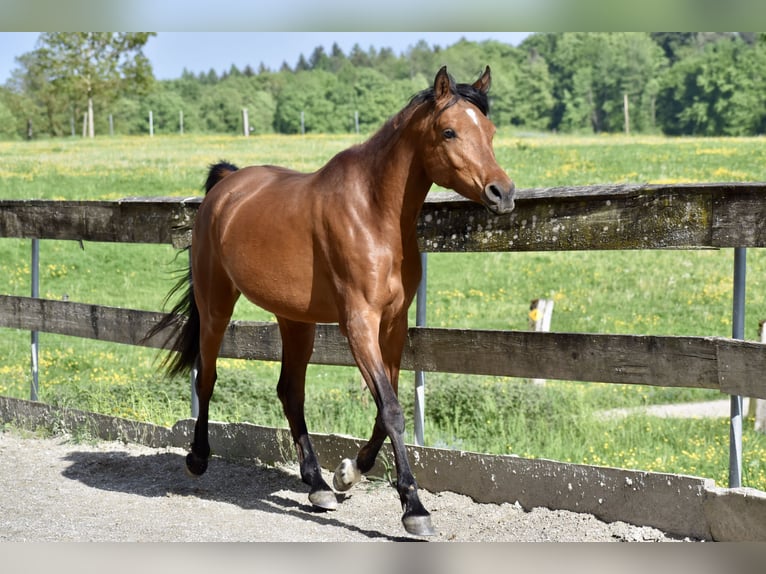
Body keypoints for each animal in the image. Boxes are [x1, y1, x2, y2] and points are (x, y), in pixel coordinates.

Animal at [146, 66, 515, 536]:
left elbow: (385, 406)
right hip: (216, 307)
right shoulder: (358, 323)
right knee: (207, 377)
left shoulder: (393, 325)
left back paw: (317, 485)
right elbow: (391, 409)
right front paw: (414, 509)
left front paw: (348, 473)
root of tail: (227, 185)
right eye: (449, 131)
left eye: (490, 131)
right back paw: (197, 458)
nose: (502, 193)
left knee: (290, 392)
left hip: (294, 320)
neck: (372, 214)